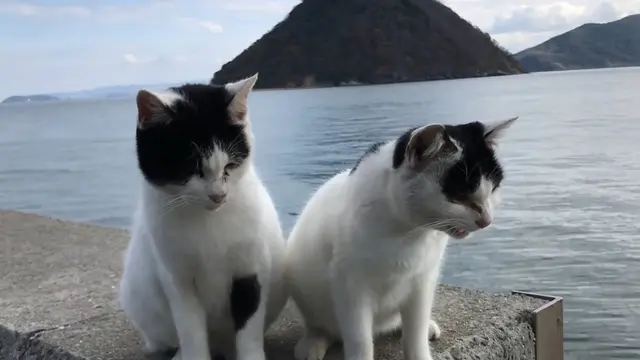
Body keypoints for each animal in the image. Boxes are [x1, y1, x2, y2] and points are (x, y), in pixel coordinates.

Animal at [118, 74, 288, 360]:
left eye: (230, 165)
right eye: (190, 167)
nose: (218, 195)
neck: (208, 223)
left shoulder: (250, 269)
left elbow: (248, 329)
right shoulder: (177, 278)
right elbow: (191, 329)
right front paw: (193, 354)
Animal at [288, 118, 516, 360]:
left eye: (493, 189)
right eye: (460, 196)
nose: (486, 220)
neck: (409, 232)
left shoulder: (422, 280)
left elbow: (415, 330)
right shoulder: (351, 287)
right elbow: (359, 339)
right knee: (322, 326)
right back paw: (313, 343)